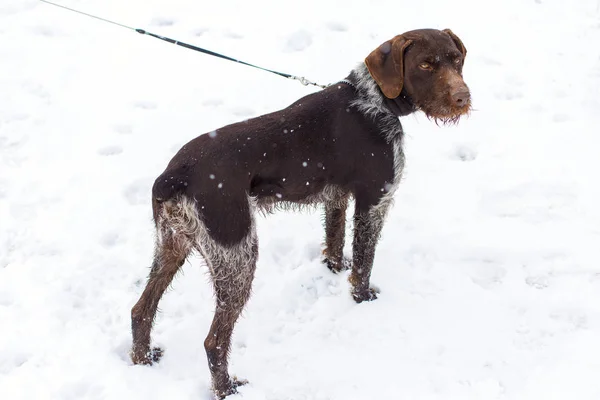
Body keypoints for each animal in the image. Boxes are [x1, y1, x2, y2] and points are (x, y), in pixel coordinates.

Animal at [129, 27, 472, 396]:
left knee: (140, 310)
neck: (374, 100)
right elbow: (364, 261)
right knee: (214, 341)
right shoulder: (374, 200)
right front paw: (363, 298)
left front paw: (334, 269)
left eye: (455, 60)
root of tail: (173, 176)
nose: (463, 98)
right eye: (425, 64)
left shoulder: (336, 197)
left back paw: (142, 359)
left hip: (172, 246)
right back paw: (228, 389)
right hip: (238, 257)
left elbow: (335, 241)